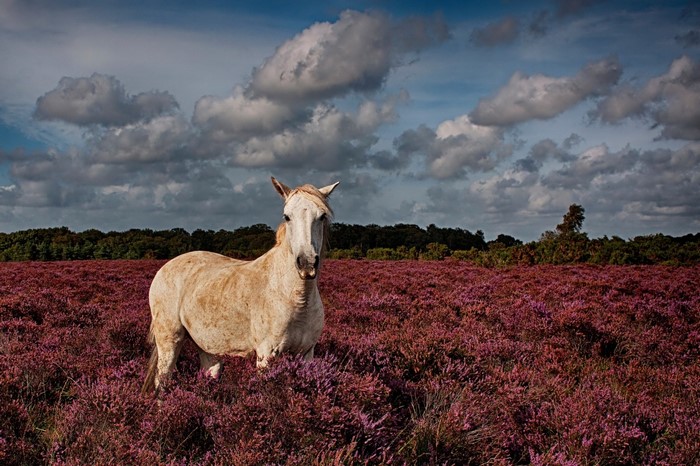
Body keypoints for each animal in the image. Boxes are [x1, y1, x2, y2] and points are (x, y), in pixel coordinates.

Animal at [142, 177, 339, 394]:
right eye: (287, 216)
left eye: (322, 216)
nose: (307, 263)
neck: (296, 298)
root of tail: (164, 268)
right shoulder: (266, 355)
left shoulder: (305, 354)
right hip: (169, 338)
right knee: (162, 380)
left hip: (207, 346)